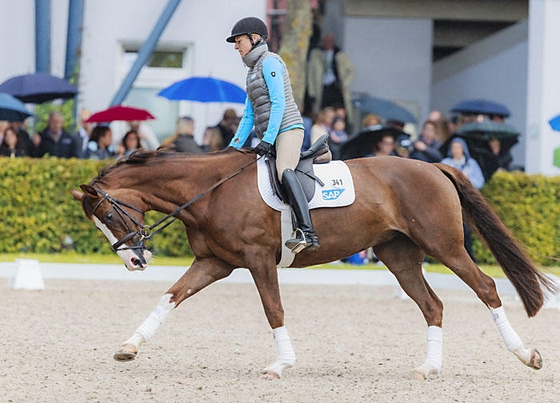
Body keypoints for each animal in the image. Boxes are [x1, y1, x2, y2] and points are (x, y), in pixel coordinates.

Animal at [71, 149, 556, 382]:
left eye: (109, 214)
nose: (134, 260)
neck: (210, 190)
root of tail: (434, 166)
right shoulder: (214, 262)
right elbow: (170, 297)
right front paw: (129, 347)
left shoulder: (257, 259)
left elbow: (273, 310)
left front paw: (280, 365)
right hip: (399, 256)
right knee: (432, 305)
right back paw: (428, 369)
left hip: (445, 245)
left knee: (487, 288)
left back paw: (527, 355)